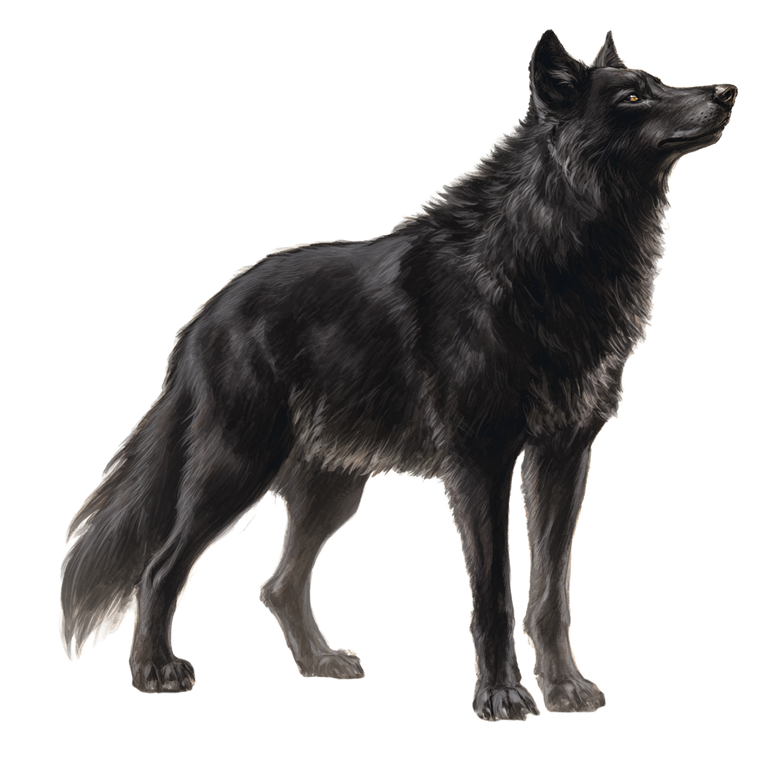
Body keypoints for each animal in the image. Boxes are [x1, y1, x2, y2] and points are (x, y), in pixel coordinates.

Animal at [57, 27, 738, 723]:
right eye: (632, 96)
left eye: (658, 82)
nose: (727, 91)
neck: (552, 254)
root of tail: (200, 322)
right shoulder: (481, 463)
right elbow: (494, 593)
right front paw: (502, 697)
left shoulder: (564, 457)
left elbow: (551, 595)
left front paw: (566, 690)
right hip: (237, 466)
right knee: (161, 566)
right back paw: (156, 672)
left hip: (332, 490)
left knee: (278, 585)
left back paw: (321, 664)